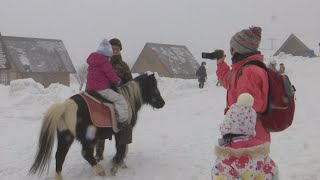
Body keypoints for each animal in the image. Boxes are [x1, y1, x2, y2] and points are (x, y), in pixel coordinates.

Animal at [28, 74, 165, 179]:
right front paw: (116, 166)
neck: (128, 99)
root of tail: (65, 106)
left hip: (65, 137)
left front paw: (120, 164)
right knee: (86, 153)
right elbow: (121, 148)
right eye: (154, 87)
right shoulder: (123, 132)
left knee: (60, 156)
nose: (162, 103)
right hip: (88, 137)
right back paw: (100, 170)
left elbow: (121, 148)